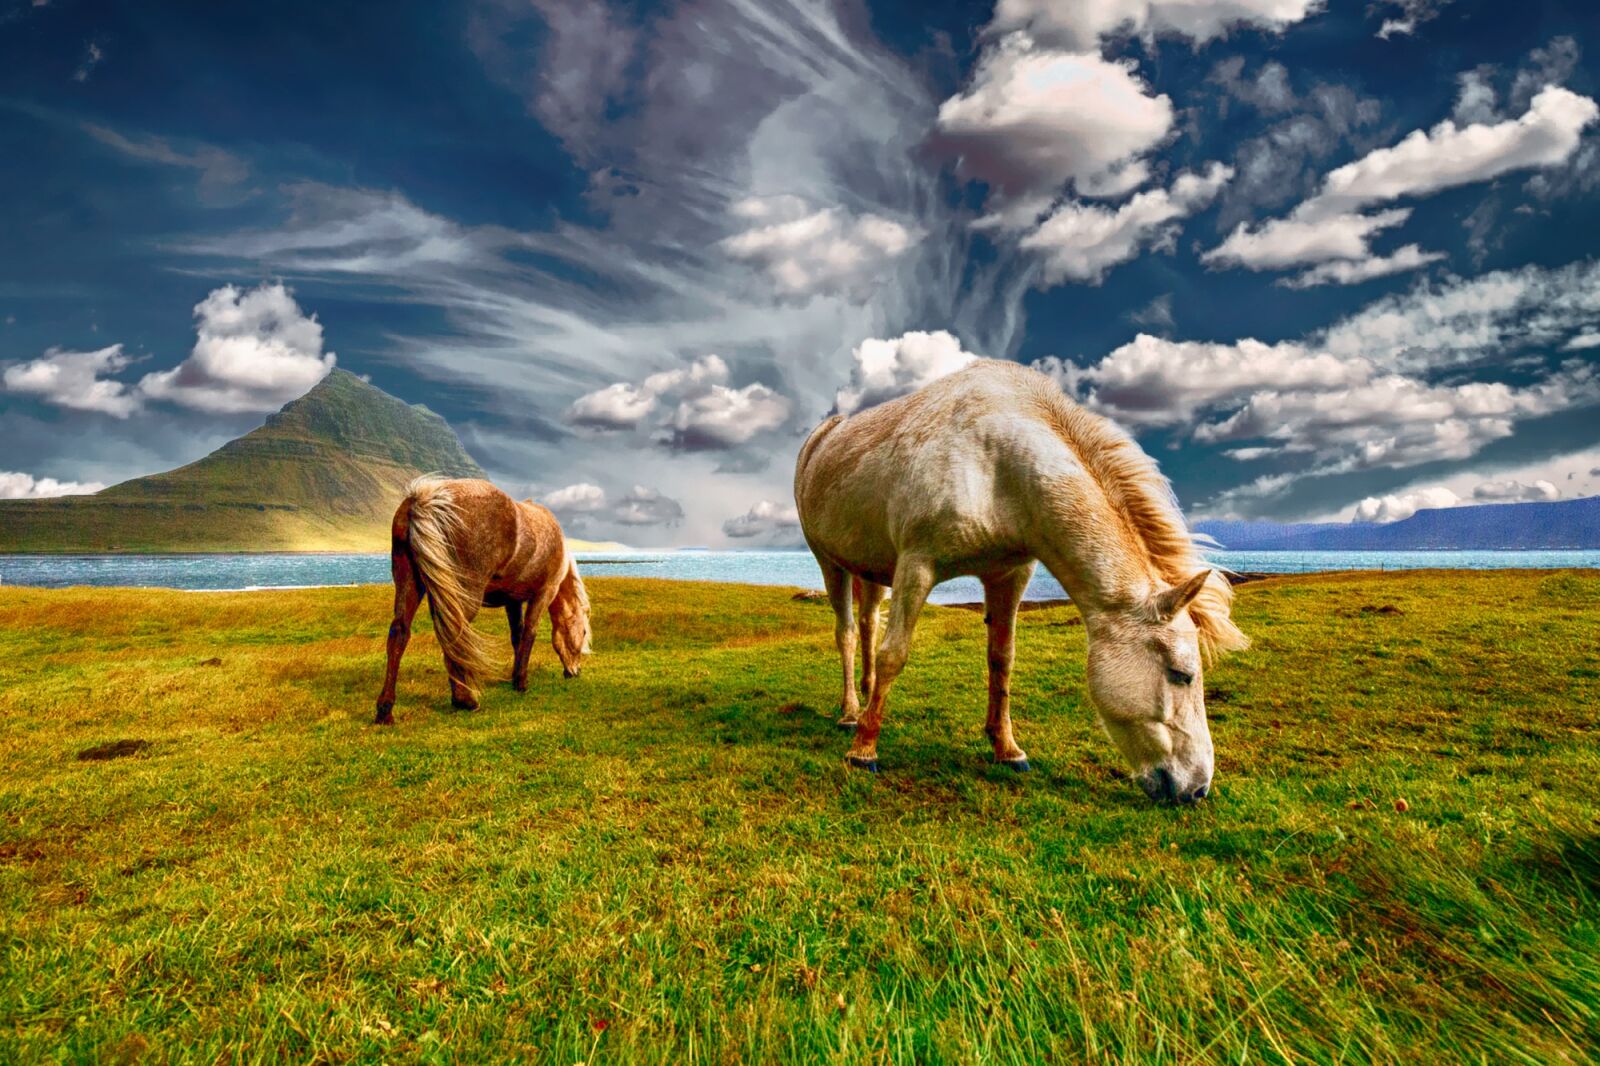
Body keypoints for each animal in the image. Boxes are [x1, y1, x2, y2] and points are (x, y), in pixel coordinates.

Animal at [371, 473, 592, 723]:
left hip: (410, 583)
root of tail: (426, 499)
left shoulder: (512, 601)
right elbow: (529, 634)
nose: (575, 671)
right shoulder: (544, 593)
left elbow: (517, 636)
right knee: (454, 635)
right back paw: (465, 700)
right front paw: (521, 683)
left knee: (399, 633)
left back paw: (385, 710)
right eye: (584, 632)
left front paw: (514, 677)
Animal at [790, 356, 1248, 797]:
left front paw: (1006, 748)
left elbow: (1002, 661)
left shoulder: (1009, 575)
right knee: (849, 633)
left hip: (870, 569)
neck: (997, 463)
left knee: (868, 624)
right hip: (830, 563)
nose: (1197, 788)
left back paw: (867, 696)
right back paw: (852, 713)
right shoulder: (916, 566)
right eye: (1181, 675)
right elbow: (894, 655)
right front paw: (864, 750)